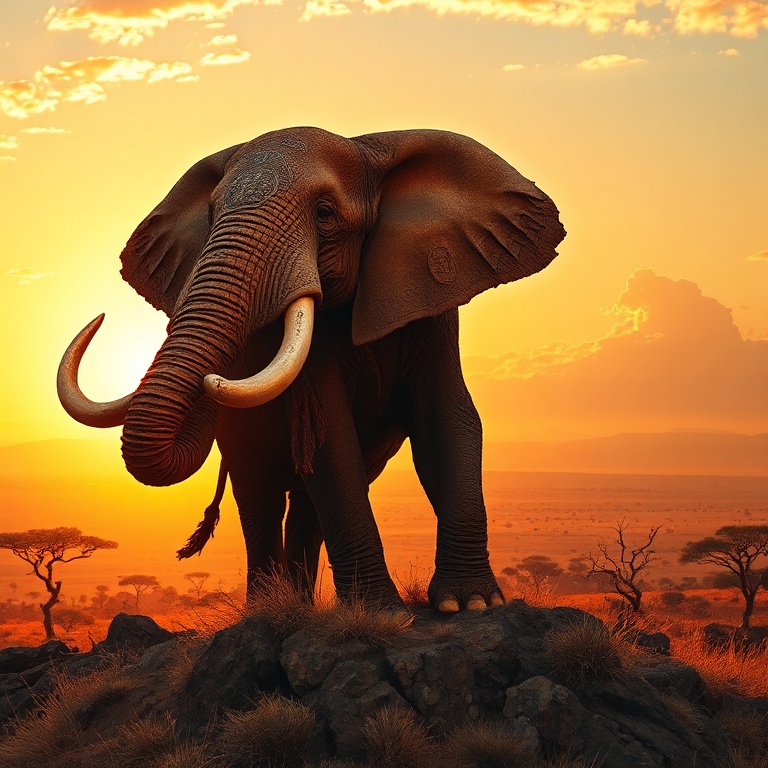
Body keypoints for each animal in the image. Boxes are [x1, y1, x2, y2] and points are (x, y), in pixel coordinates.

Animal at [58, 126, 565, 613]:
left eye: (324, 213)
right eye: (212, 213)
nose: (212, 378)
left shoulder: (433, 308)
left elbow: (448, 419)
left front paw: (470, 604)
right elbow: (331, 438)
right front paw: (385, 615)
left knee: (305, 502)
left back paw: (299, 605)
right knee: (258, 496)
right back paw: (268, 609)